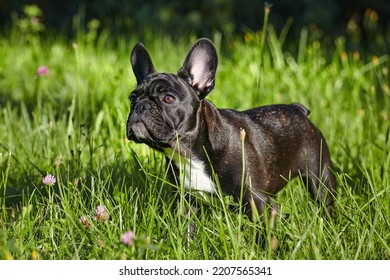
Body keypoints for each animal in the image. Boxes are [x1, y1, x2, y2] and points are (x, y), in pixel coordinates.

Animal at [126, 38, 336, 220]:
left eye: (168, 98)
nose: (141, 106)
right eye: (132, 98)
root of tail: (297, 109)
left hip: (319, 175)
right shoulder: (187, 202)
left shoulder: (258, 201)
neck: (191, 152)